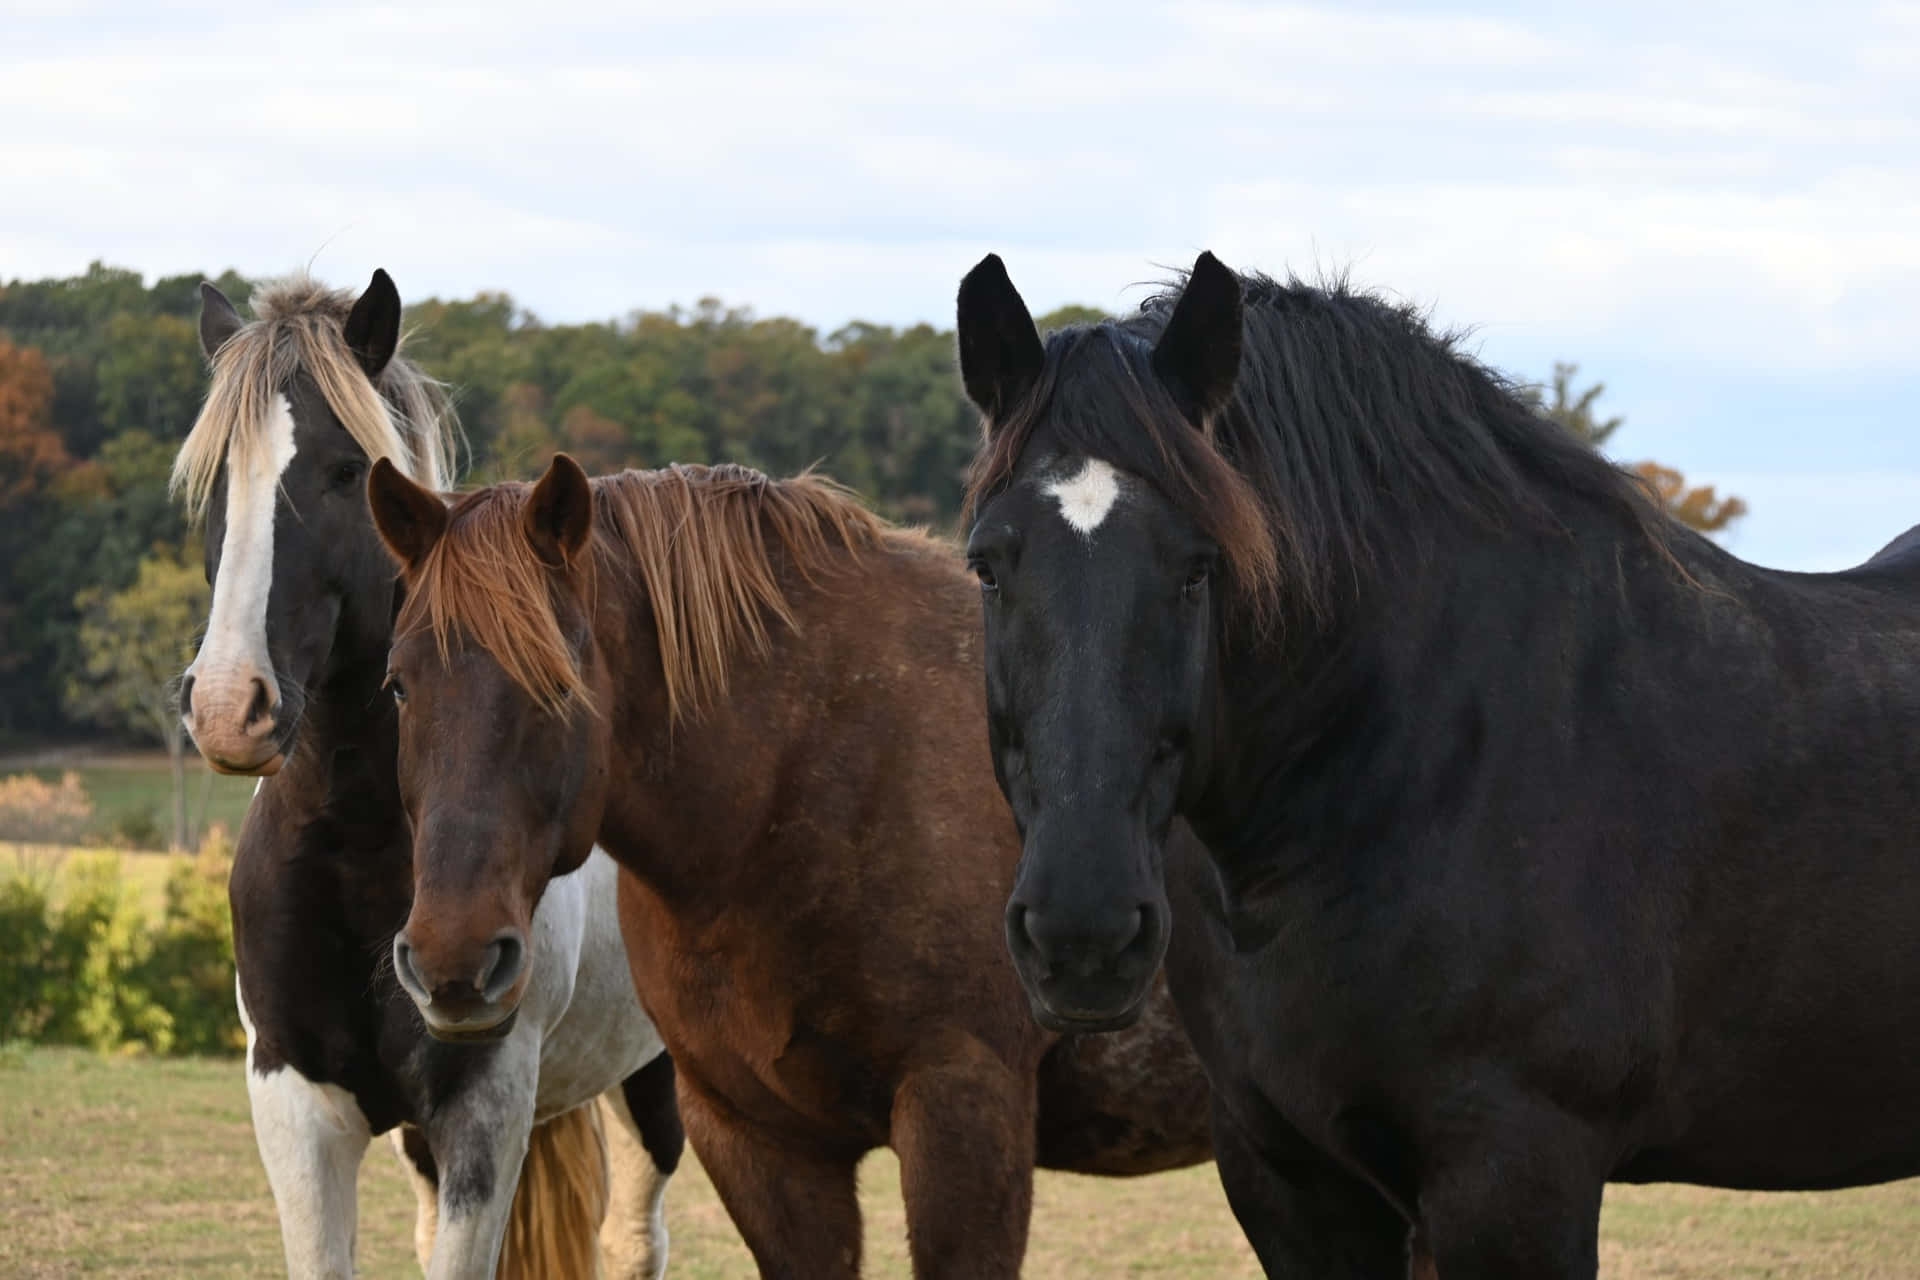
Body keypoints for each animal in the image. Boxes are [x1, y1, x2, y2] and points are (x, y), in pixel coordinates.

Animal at [173, 271, 683, 1279]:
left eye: (342, 471)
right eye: (215, 480)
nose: (225, 704)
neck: (362, 839)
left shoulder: (481, 1107)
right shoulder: (294, 1102)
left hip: (650, 1081)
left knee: (632, 1241)